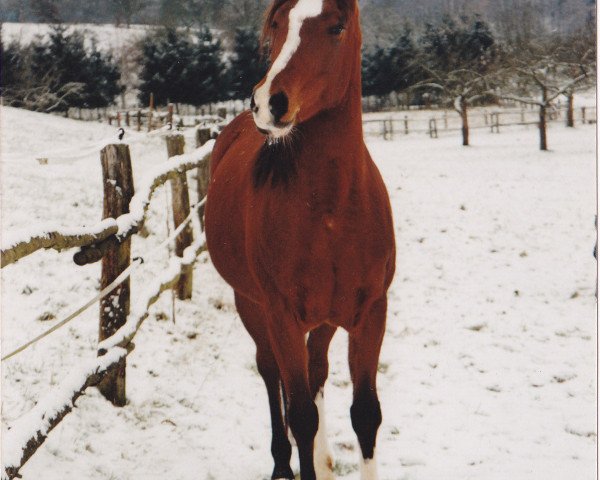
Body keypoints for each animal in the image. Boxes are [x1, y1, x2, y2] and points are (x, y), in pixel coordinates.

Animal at [204, 1, 396, 478]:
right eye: (277, 23)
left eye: (337, 27)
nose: (269, 102)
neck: (330, 212)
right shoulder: (282, 317)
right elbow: (301, 415)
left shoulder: (371, 313)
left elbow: (366, 413)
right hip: (252, 306)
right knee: (272, 374)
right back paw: (281, 462)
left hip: (325, 318)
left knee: (316, 369)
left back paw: (324, 460)